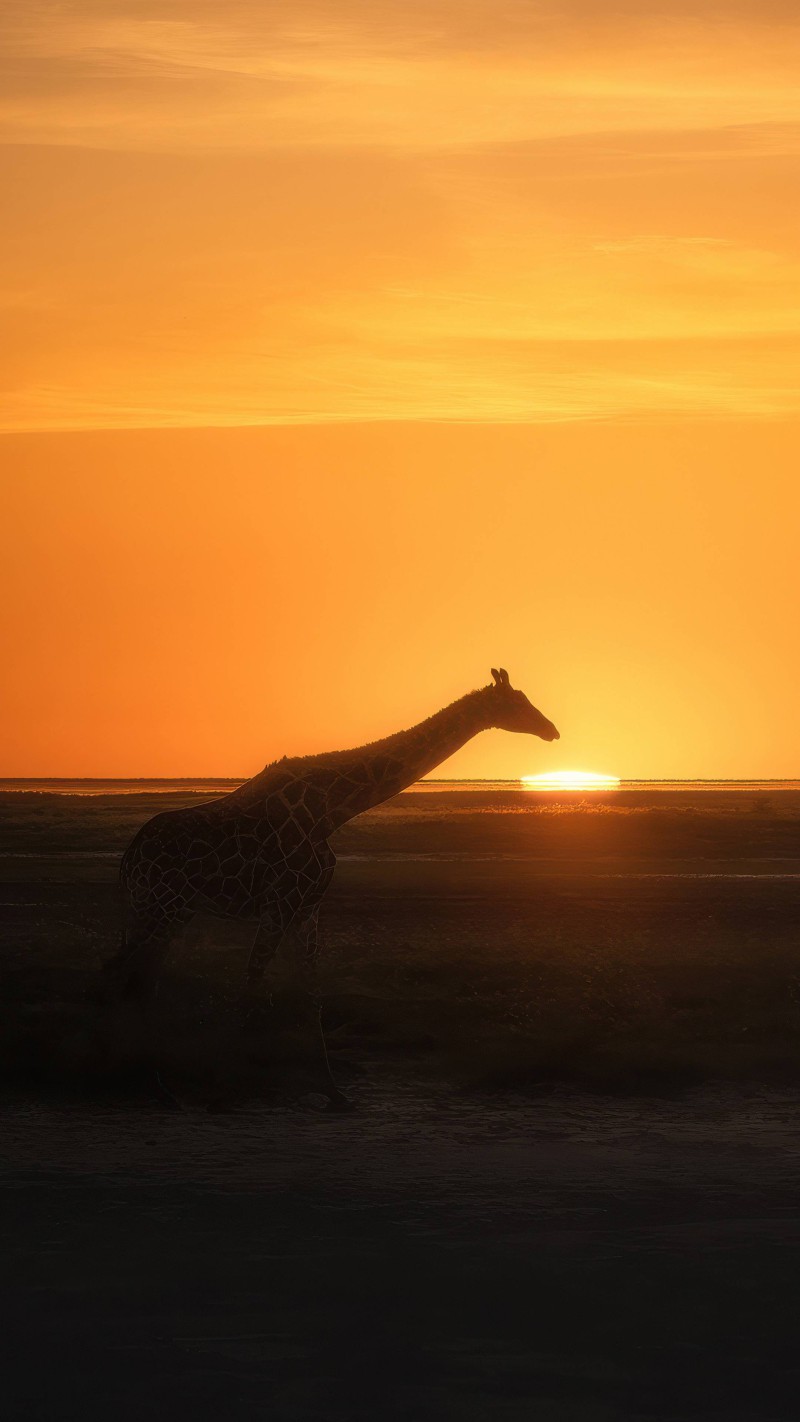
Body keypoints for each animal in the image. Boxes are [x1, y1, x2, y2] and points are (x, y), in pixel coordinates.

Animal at [101, 668, 559, 1104]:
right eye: (518, 702)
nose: (552, 730)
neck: (332, 808)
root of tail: (128, 860)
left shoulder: (308, 907)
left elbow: (311, 993)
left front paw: (334, 1091)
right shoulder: (281, 902)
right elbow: (252, 983)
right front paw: (226, 1085)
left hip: (169, 911)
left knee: (133, 976)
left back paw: (141, 1079)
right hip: (163, 908)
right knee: (131, 976)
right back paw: (148, 1082)